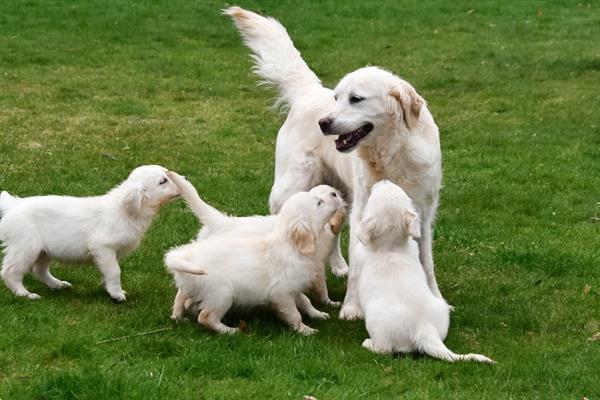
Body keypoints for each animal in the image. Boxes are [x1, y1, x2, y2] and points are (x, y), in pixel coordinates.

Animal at [0, 165, 179, 300]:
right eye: (163, 181)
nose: (183, 179)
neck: (125, 210)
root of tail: (14, 205)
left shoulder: (110, 253)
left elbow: (108, 271)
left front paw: (108, 288)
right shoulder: (102, 246)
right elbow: (115, 271)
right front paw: (117, 294)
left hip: (45, 251)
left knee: (39, 270)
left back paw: (58, 285)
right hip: (25, 247)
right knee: (10, 271)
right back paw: (25, 294)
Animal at [164, 186, 344, 336]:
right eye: (319, 202)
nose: (335, 193)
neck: (292, 246)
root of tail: (187, 255)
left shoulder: (293, 287)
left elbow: (306, 301)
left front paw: (318, 314)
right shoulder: (282, 293)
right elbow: (295, 314)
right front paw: (305, 330)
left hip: (192, 287)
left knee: (181, 297)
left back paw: (179, 316)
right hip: (222, 293)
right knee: (206, 317)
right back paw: (231, 331)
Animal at [225, 7, 446, 318]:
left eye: (356, 99)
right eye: (337, 98)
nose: (324, 123)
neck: (391, 151)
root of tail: (308, 93)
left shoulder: (423, 212)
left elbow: (427, 262)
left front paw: (436, 297)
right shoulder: (365, 209)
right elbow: (359, 261)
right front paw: (352, 307)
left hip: (338, 195)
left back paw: (339, 265)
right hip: (291, 188)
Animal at [356, 181, 492, 362]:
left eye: (373, 197)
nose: (384, 181)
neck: (391, 246)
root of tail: (425, 329)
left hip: (377, 324)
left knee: (384, 349)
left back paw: (368, 343)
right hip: (441, 309)